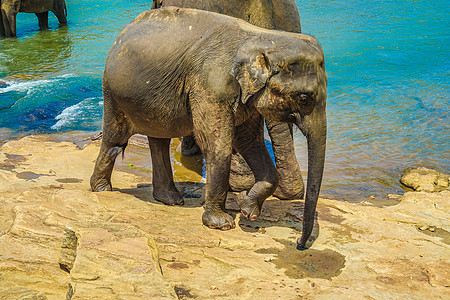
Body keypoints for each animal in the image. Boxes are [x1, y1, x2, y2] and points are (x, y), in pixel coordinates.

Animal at [89, 7, 326, 248]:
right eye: (304, 98)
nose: (299, 243)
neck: (263, 36)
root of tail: (122, 33)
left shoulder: (245, 95)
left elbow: (250, 142)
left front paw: (247, 208)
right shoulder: (210, 85)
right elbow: (217, 144)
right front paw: (222, 224)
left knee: (159, 140)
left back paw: (170, 199)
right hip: (113, 93)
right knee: (115, 139)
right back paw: (103, 189)